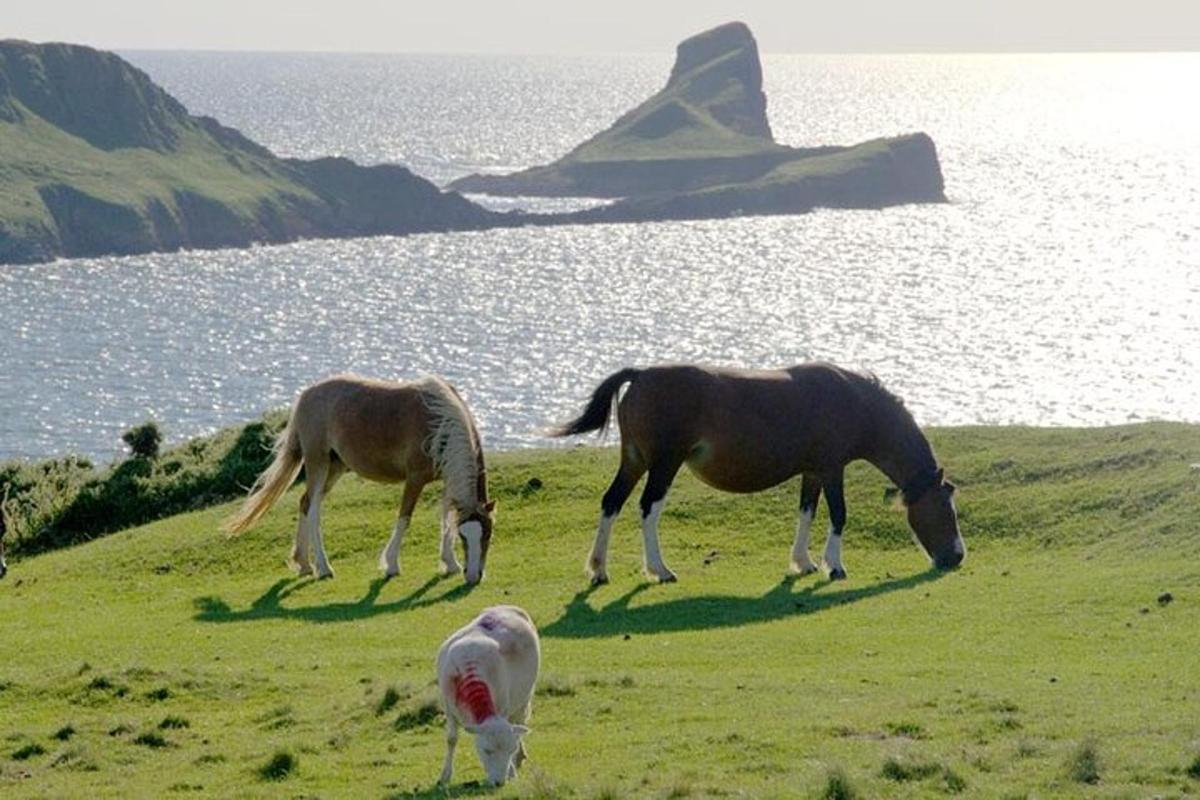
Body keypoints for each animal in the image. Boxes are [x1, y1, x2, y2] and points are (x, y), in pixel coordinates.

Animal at [223, 374, 496, 584]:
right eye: (465, 537)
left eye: (487, 535)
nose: (474, 576)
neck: (440, 422)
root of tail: (307, 395)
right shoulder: (415, 479)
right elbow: (404, 518)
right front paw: (391, 565)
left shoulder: (447, 479)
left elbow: (446, 517)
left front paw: (450, 564)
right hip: (318, 463)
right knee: (313, 511)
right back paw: (324, 568)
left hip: (335, 467)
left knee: (304, 503)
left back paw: (305, 565)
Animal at [554, 363, 963, 584]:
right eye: (947, 510)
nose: (957, 557)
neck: (853, 400)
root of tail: (640, 375)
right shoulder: (832, 469)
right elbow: (839, 515)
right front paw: (834, 566)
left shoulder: (813, 472)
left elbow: (807, 512)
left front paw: (803, 562)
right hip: (664, 464)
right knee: (647, 509)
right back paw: (659, 569)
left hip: (634, 461)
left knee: (612, 503)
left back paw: (598, 570)